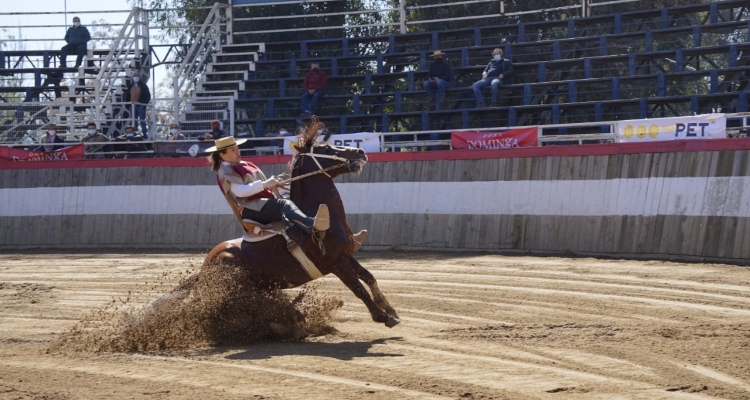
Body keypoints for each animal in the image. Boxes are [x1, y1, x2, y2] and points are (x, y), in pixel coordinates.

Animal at [200, 125, 400, 328]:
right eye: (325, 148)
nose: (360, 152)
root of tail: (206, 265)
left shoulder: (346, 255)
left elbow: (368, 276)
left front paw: (388, 307)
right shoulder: (336, 262)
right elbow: (358, 288)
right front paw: (382, 316)